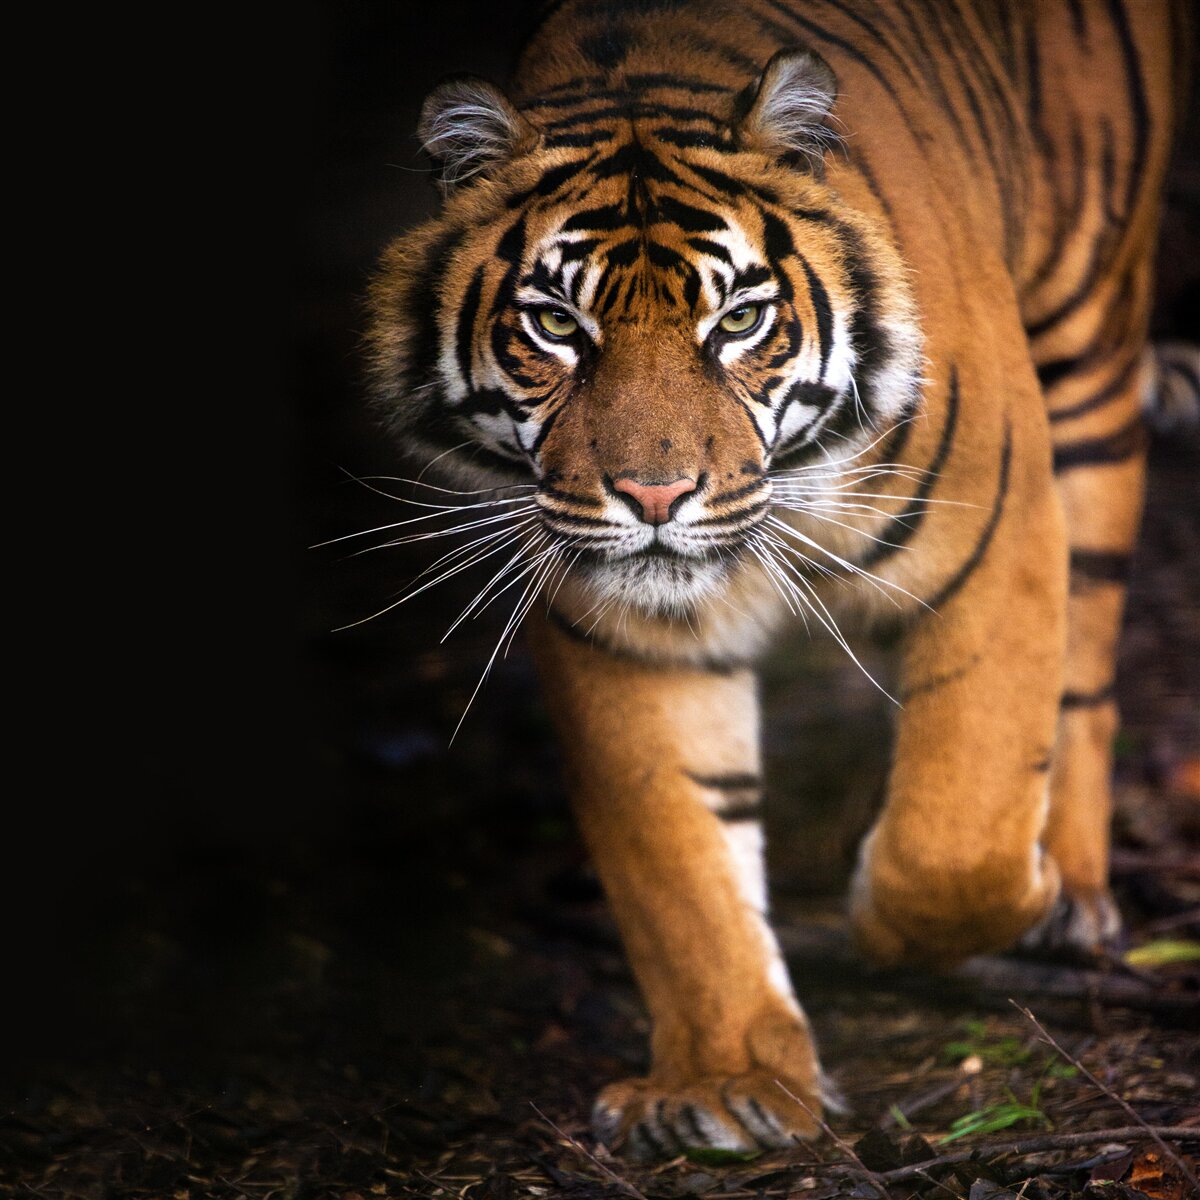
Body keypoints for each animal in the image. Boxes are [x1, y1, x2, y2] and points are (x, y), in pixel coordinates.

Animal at [365, 0, 1192, 1160]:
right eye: (558, 326)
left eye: (739, 321)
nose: (654, 495)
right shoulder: (623, 633)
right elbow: (682, 863)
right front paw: (727, 1083)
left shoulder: (1002, 534)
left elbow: (958, 832)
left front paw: (941, 914)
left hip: (1088, 356)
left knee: (1087, 668)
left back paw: (1068, 896)